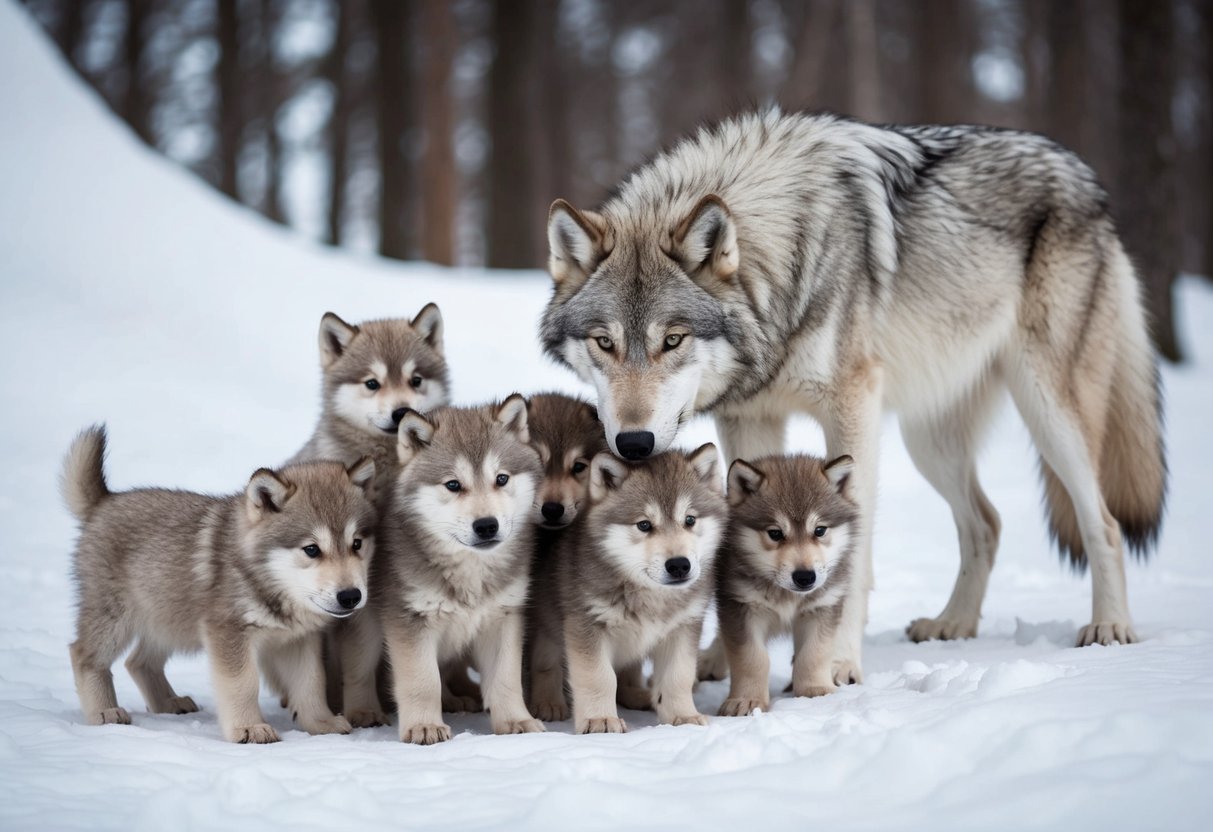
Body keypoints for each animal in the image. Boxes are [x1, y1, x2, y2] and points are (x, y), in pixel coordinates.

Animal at [62, 425, 376, 743]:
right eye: (312, 549)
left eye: (356, 544)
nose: (351, 596)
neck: (268, 582)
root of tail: (103, 501)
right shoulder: (228, 632)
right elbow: (243, 683)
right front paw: (249, 727)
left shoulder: (297, 641)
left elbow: (311, 682)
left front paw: (322, 723)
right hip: (116, 618)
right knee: (83, 655)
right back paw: (105, 712)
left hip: (166, 620)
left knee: (138, 662)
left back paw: (168, 703)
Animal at [339, 397, 545, 744]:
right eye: (453, 485)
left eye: (502, 478)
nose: (486, 526)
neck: (470, 570)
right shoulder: (411, 621)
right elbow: (423, 682)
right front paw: (424, 726)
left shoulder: (503, 618)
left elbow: (505, 680)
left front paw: (516, 721)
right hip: (366, 631)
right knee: (358, 673)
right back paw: (364, 712)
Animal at [531, 445, 726, 734]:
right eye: (644, 524)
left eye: (690, 520)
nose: (679, 565)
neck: (649, 595)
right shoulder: (586, 626)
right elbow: (599, 677)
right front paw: (600, 720)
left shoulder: (683, 628)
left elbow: (677, 677)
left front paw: (683, 716)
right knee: (545, 666)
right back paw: (549, 704)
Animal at [540, 108, 1166, 668]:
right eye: (604, 343)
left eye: (672, 340)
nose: (634, 444)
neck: (782, 274)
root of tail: (1083, 173)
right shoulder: (750, 416)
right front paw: (725, 655)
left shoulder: (852, 406)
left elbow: (852, 545)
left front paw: (836, 661)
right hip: (928, 440)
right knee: (986, 523)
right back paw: (953, 624)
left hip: (1047, 410)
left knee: (1103, 521)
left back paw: (1110, 627)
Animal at [709, 454, 859, 716]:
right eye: (775, 533)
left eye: (820, 530)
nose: (805, 577)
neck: (787, 595)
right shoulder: (740, 608)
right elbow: (752, 658)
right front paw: (746, 700)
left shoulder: (823, 608)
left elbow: (813, 653)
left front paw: (815, 690)